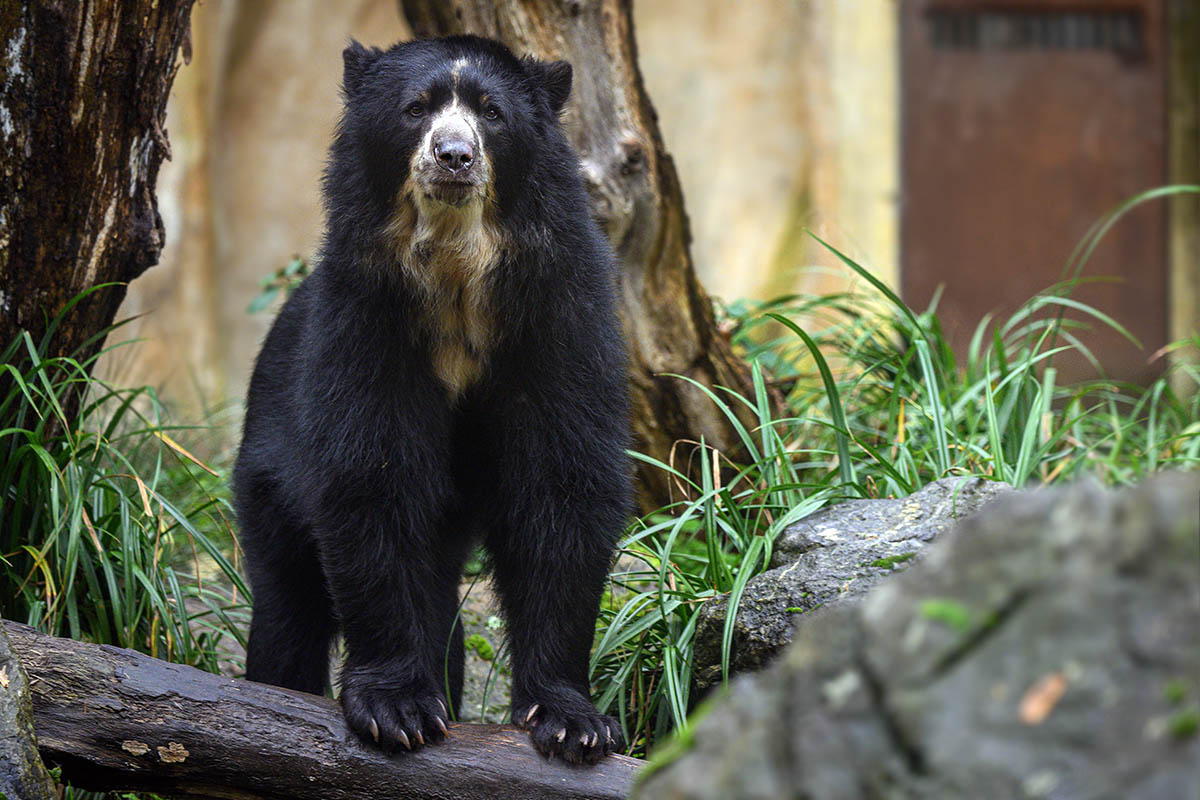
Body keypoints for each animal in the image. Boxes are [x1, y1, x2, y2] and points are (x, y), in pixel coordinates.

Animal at [232, 35, 631, 764]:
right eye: (416, 108)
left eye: (492, 113)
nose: (454, 156)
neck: (456, 268)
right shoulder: (368, 316)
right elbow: (372, 476)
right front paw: (397, 710)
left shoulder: (558, 319)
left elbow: (563, 482)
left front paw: (572, 721)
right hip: (268, 471)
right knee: (286, 607)